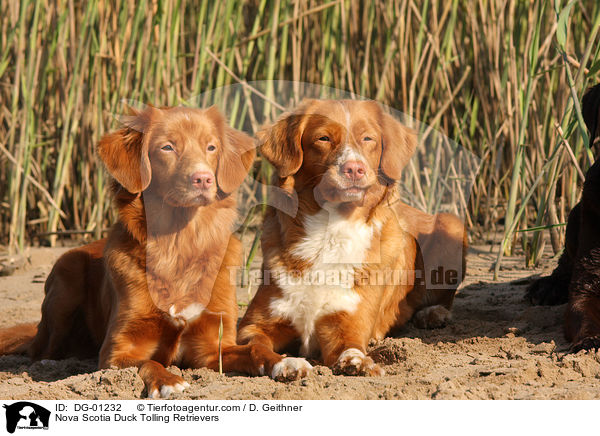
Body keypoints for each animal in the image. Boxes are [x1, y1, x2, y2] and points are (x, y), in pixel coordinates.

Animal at [0, 104, 282, 396]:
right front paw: (169, 380)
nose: (203, 179)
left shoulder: (212, 349)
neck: (178, 245)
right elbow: (148, 361)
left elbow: (252, 349)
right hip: (67, 278)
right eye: (167, 147)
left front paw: (282, 362)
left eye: (211, 147)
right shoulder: (116, 351)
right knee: (41, 349)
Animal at [237, 99, 466, 378]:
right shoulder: (254, 325)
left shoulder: (347, 323)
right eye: (323, 138)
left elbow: (350, 346)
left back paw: (433, 313)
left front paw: (357, 362)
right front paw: (286, 363)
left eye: (368, 138)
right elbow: (256, 346)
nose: (355, 169)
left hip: (451, 224)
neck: (330, 231)